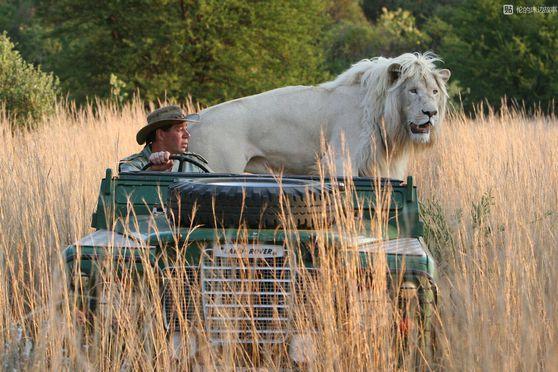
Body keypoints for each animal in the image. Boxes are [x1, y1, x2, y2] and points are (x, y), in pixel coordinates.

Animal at [190, 53, 452, 179]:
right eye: (413, 90)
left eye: (434, 91)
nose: (431, 113)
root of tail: (194, 121)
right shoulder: (339, 161)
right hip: (217, 163)